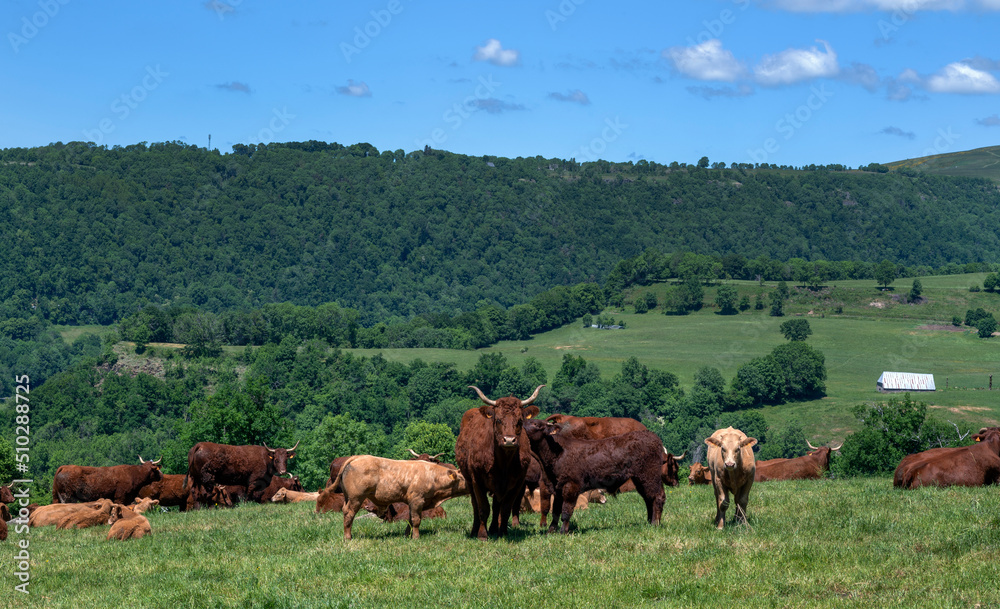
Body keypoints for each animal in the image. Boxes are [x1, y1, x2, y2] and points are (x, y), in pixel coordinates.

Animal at [332, 454, 464, 540]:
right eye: (463, 477)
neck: (431, 475)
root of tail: (357, 457)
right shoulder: (417, 500)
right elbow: (416, 520)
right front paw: (416, 537)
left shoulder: (414, 504)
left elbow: (410, 520)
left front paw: (407, 535)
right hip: (356, 498)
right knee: (349, 513)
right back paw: (348, 537)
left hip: (348, 498)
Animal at [458, 384, 544, 536]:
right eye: (498, 420)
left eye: (520, 421)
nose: (509, 440)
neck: (503, 462)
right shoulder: (477, 480)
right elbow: (483, 508)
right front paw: (482, 535)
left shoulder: (517, 483)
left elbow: (505, 509)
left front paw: (502, 532)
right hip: (469, 480)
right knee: (475, 505)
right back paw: (475, 530)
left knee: (496, 506)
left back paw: (493, 529)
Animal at [524, 418, 664, 532]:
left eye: (535, 424)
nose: (522, 425)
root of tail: (653, 436)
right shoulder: (557, 487)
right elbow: (556, 510)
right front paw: (551, 530)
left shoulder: (571, 485)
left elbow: (566, 510)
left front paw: (563, 531)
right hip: (640, 479)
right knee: (648, 498)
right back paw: (649, 522)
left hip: (650, 475)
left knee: (658, 496)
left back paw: (655, 523)